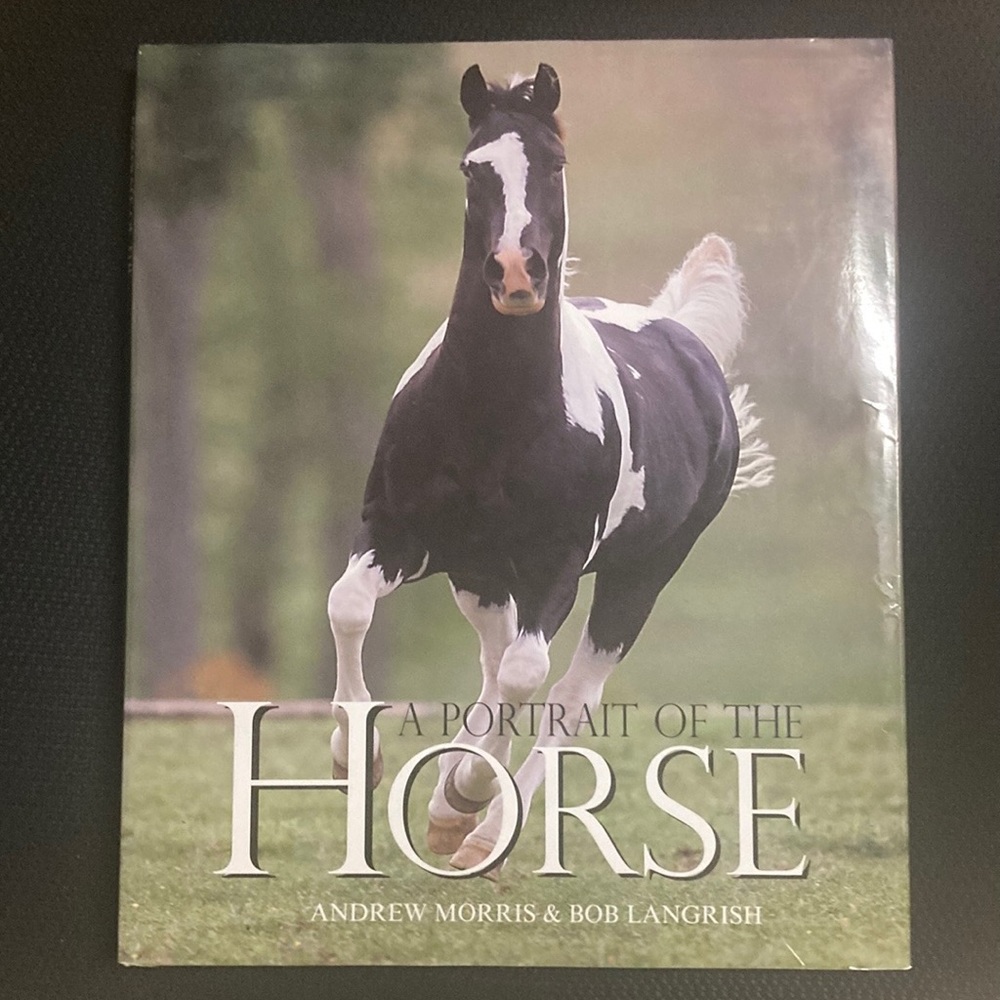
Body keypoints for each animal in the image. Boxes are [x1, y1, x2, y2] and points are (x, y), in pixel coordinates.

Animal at [325, 63, 773, 876]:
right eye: (472, 168)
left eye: (555, 165)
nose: (514, 273)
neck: (493, 416)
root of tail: (682, 332)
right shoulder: (402, 532)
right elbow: (349, 607)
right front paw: (355, 758)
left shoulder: (555, 566)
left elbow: (531, 678)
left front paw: (462, 800)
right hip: (480, 572)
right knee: (492, 660)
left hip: (639, 577)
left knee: (567, 692)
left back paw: (478, 824)